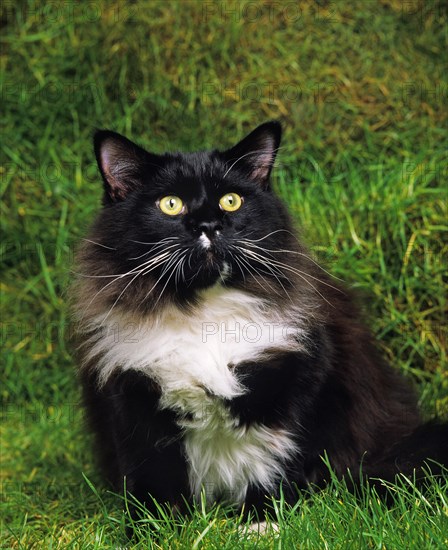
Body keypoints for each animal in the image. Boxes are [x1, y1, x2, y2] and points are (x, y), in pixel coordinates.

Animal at [72, 123, 446, 524]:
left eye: (231, 201)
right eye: (170, 204)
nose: (209, 225)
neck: (203, 315)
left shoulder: (293, 392)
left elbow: (272, 467)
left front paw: (262, 523)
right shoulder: (133, 407)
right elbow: (153, 485)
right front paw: (155, 529)